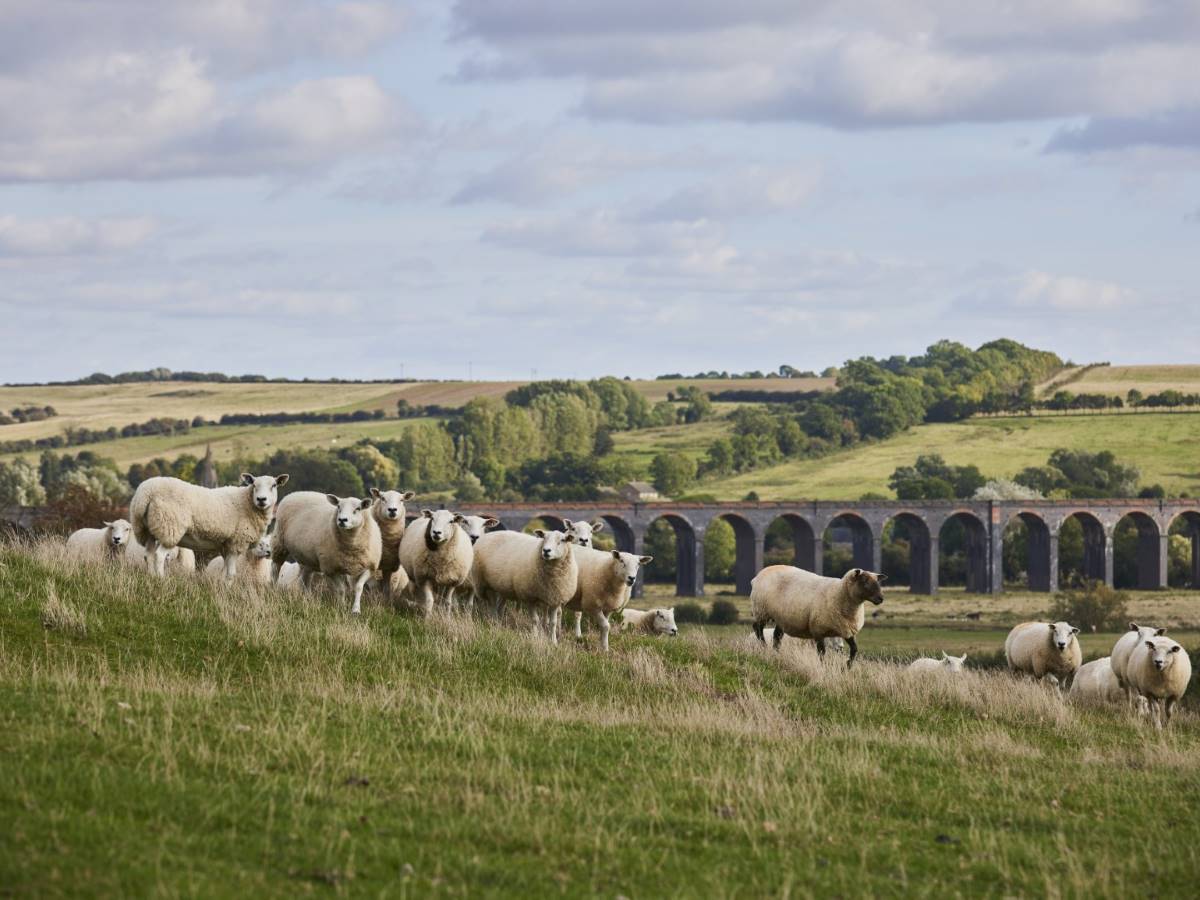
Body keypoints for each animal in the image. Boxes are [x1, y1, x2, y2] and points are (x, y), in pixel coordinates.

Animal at [129, 475, 285, 580]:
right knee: (159, 555)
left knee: (148, 555)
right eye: (254, 485)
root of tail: (144, 494)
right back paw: (161, 579)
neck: (247, 503)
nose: (261, 499)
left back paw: (151, 577)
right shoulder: (236, 542)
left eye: (274, 485)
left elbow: (224, 571)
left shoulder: (226, 546)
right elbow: (231, 574)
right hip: (169, 527)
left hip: (147, 529)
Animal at [271, 489, 379, 619]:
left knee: (305, 580)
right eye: (338, 507)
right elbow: (341, 589)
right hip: (279, 542)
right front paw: (342, 607)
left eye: (358, 509)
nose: (342, 520)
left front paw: (356, 610)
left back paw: (308, 600)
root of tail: (295, 493)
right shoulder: (330, 568)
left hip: (308, 559)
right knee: (275, 568)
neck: (351, 545)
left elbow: (358, 587)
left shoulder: (370, 567)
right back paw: (272, 590)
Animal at [744, 564, 888, 672]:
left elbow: (854, 650)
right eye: (864, 581)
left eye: (877, 582)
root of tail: (756, 577)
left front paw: (846, 667)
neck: (839, 593)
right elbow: (822, 652)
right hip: (761, 609)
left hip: (781, 618)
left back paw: (776, 653)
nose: (881, 598)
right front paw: (823, 667)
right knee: (757, 628)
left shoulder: (846, 630)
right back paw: (764, 646)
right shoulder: (818, 630)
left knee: (777, 636)